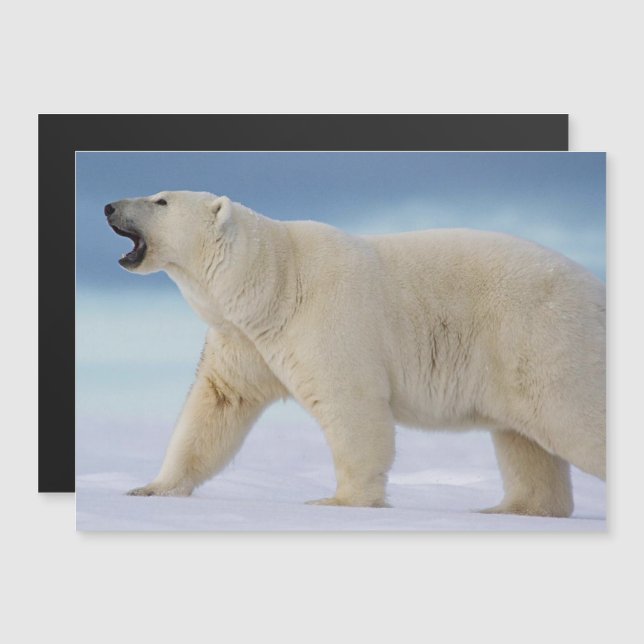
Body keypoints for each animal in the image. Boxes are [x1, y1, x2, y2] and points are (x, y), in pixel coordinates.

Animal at [105, 190, 606, 517]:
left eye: (160, 201)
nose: (109, 206)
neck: (275, 284)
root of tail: (599, 291)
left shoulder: (327, 316)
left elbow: (351, 402)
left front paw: (339, 501)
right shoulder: (244, 341)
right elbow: (215, 407)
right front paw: (150, 489)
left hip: (541, 338)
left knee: (573, 417)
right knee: (524, 441)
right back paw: (509, 509)